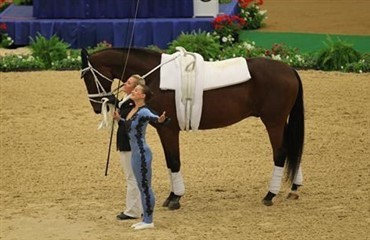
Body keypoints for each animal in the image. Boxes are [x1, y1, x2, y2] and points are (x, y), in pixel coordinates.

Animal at [80, 47, 304, 208]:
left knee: (281, 153)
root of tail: (290, 70)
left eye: (87, 77)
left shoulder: (167, 129)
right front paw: (172, 195)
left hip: (273, 122)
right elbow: (170, 162)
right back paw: (293, 188)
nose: (96, 107)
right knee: (292, 150)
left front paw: (175, 198)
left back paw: (270, 194)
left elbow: (173, 161)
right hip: (280, 122)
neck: (155, 77)